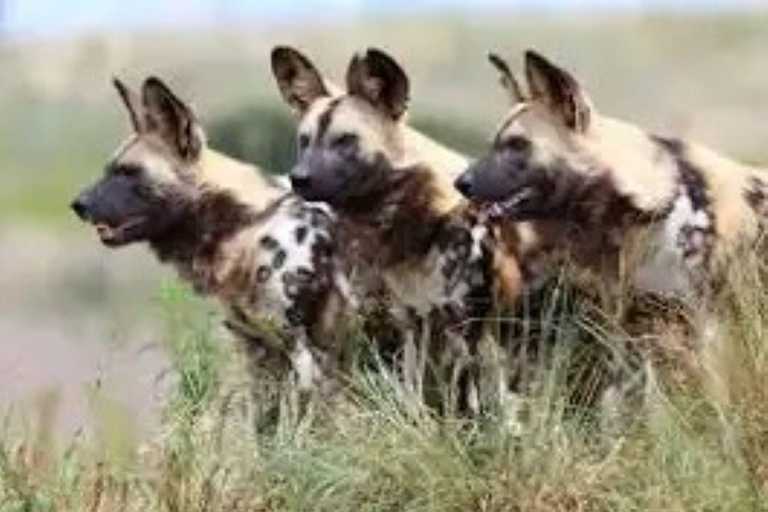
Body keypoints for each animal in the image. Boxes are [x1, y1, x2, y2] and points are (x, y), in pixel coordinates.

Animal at [272, 45, 520, 412]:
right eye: (304, 141)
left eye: (346, 140)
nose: (298, 178)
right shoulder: (411, 320)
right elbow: (412, 396)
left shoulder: (467, 324)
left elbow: (475, 405)